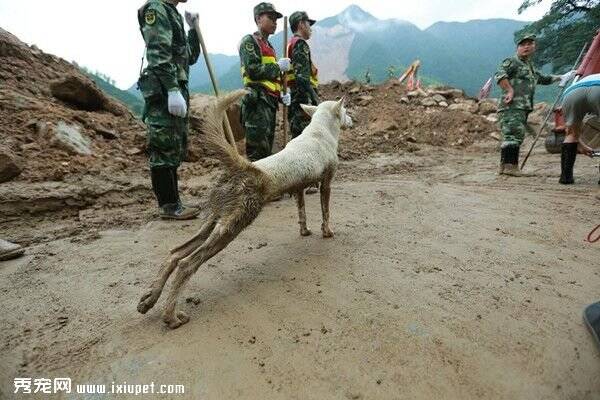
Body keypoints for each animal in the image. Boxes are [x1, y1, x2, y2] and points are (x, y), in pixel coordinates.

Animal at [137, 90, 354, 328]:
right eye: (346, 111)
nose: (352, 120)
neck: (319, 130)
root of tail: (243, 166)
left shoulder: (299, 189)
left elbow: (302, 213)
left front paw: (305, 231)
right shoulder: (327, 182)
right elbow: (326, 211)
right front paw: (327, 232)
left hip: (215, 219)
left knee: (175, 254)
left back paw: (149, 299)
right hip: (233, 224)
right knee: (186, 264)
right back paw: (171, 315)